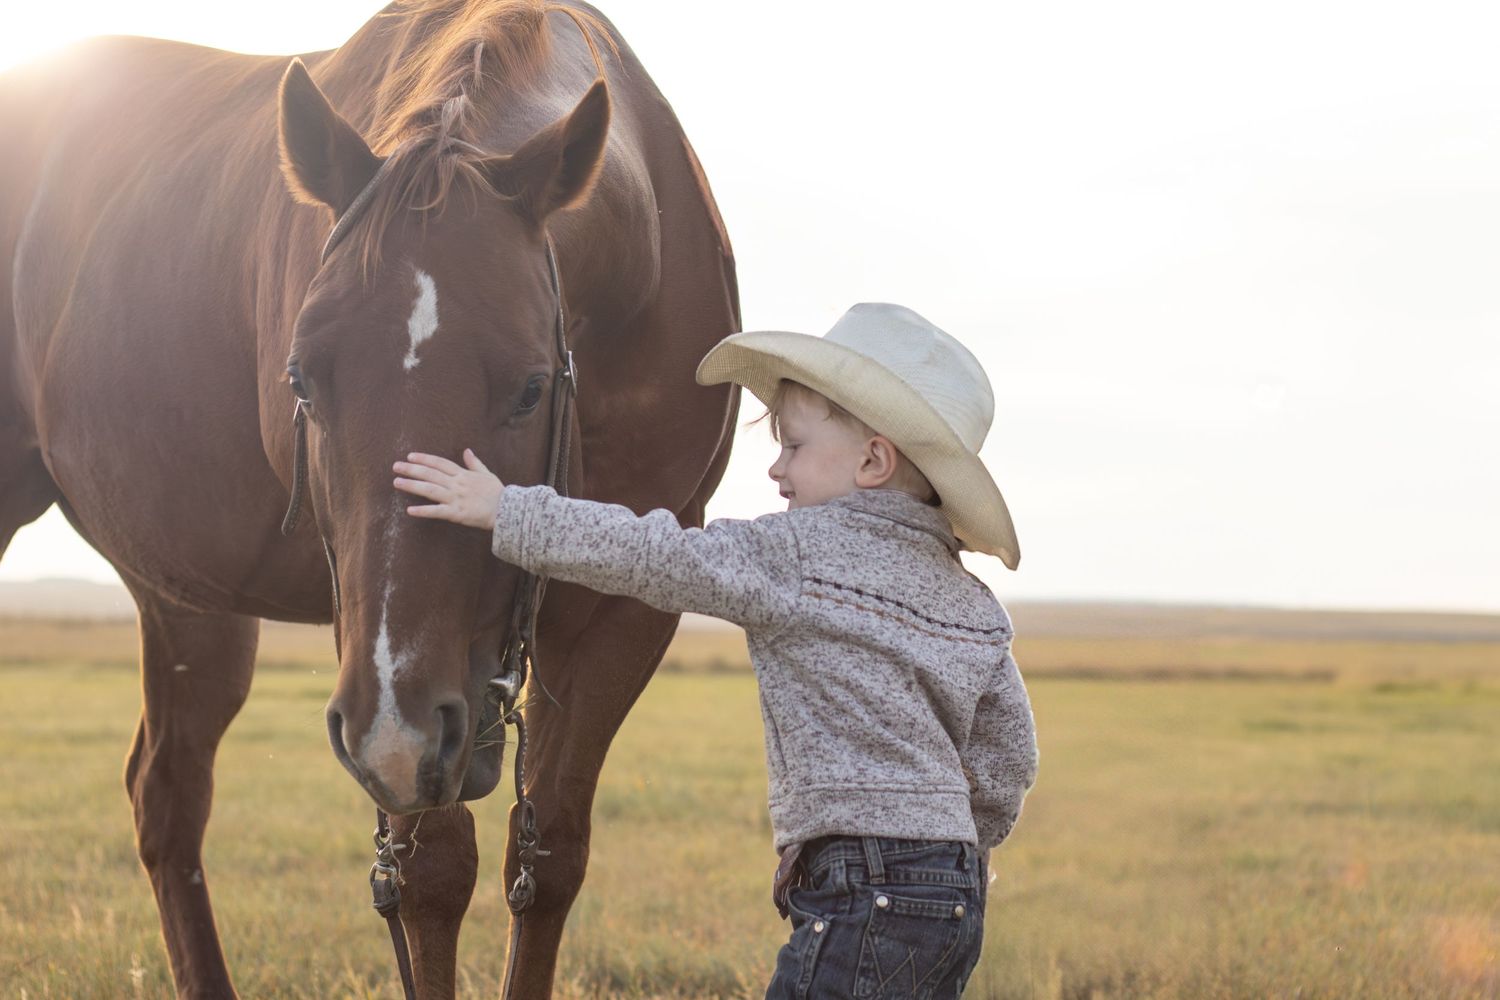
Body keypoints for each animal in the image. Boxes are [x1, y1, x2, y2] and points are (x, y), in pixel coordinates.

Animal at [0, 0, 740, 995]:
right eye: (302, 381)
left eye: (530, 389)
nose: (395, 728)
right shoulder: (380, 656)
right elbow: (431, 873)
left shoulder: (624, 611)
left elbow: (548, 860)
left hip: (188, 601)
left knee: (167, 797)